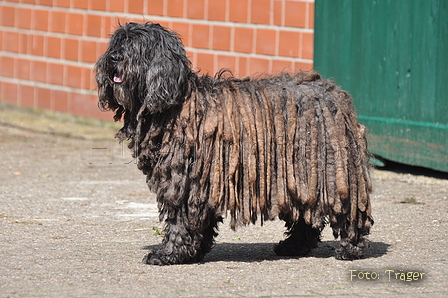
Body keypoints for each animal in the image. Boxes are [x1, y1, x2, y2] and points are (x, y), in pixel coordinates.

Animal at [95, 22, 374, 266]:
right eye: (116, 43)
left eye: (137, 47)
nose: (114, 58)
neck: (174, 102)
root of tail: (336, 94)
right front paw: (193, 251)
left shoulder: (183, 181)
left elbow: (180, 220)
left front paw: (169, 254)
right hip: (298, 178)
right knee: (305, 214)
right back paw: (294, 246)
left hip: (332, 172)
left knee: (349, 210)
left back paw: (351, 248)